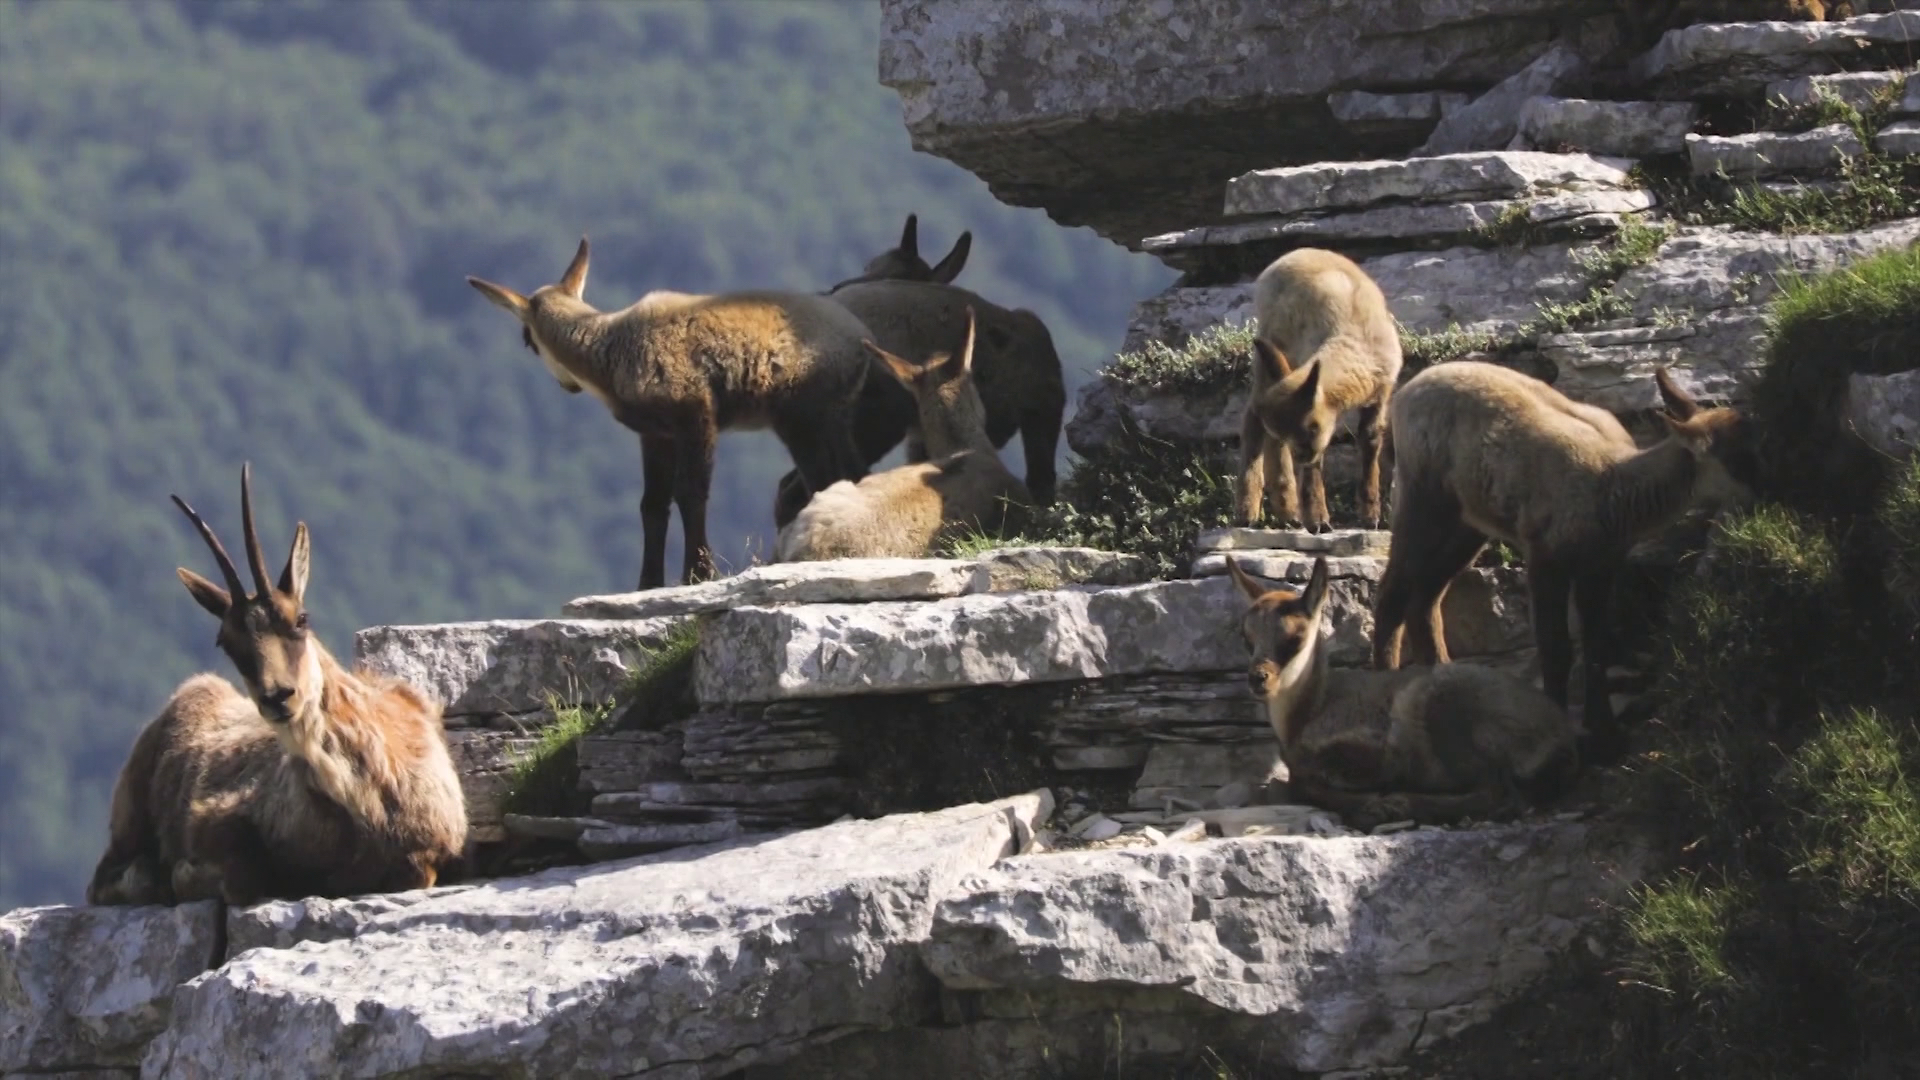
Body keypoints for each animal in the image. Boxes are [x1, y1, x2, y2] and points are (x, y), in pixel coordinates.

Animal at [87, 465, 468, 907]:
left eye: (300, 618)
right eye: (225, 641)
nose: (278, 697)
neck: (369, 796)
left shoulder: (430, 850)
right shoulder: (218, 816)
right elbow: (243, 876)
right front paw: (182, 876)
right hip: (129, 820)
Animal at [468, 236, 874, 588]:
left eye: (527, 340)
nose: (566, 386)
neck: (611, 348)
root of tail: (859, 340)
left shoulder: (696, 415)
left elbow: (690, 492)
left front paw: (698, 573)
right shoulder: (655, 433)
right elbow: (652, 503)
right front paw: (647, 583)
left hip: (801, 420)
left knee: (823, 477)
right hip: (836, 418)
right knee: (853, 471)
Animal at [1229, 555, 1582, 830]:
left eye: (1294, 638)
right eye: (1246, 638)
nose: (1258, 679)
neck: (1309, 710)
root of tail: (1562, 731)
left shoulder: (1377, 747)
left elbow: (1305, 784)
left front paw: (1375, 801)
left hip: (1445, 712)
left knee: (1497, 792)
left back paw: (1394, 806)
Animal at [1237, 247, 1404, 533]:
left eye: (1311, 426)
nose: (1301, 455)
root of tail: (1297, 252)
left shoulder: (1380, 394)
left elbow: (1370, 441)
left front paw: (1370, 515)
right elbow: (1316, 463)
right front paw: (1318, 520)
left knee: (1269, 434)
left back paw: (1287, 510)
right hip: (1269, 347)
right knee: (1253, 417)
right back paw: (1249, 510)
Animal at [1370, 361, 1758, 765]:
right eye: (1740, 459)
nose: (1767, 495)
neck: (1613, 487)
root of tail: (1405, 392)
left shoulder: (1600, 565)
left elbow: (1597, 645)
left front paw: (1606, 737)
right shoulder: (1545, 556)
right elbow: (1555, 647)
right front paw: (1558, 736)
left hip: (1469, 520)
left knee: (1425, 598)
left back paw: (1444, 679)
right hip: (1423, 494)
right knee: (1393, 593)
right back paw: (1383, 686)